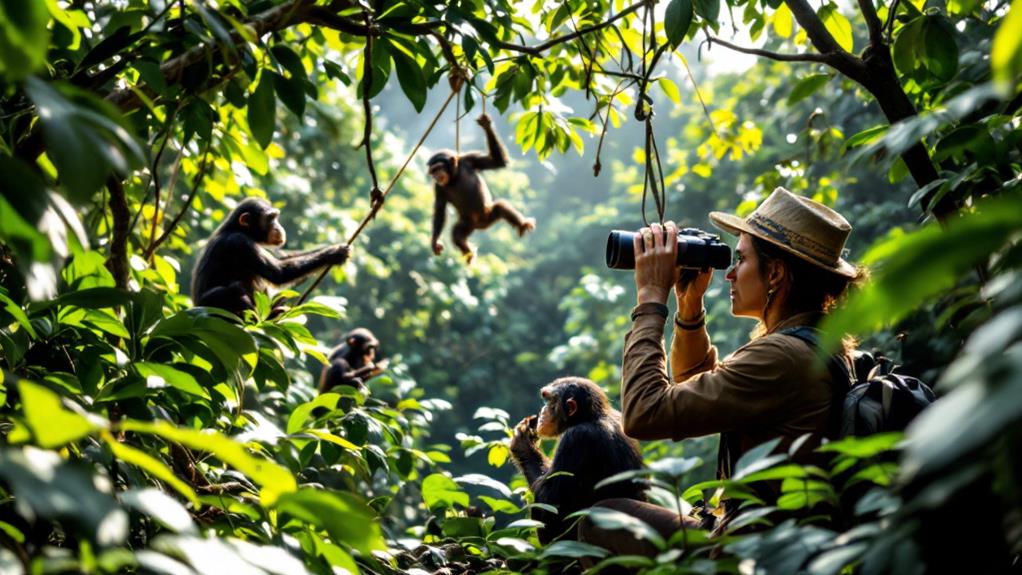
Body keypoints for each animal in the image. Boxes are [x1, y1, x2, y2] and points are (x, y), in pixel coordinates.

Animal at [192, 197, 351, 314]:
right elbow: (279, 272)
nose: (277, 227)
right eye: (270, 219)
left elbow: (282, 259)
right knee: (232, 289)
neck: (240, 230)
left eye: (276, 217)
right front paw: (335, 252)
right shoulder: (239, 243)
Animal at [425, 112, 535, 265]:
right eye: (433, 171)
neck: (454, 176)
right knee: (456, 234)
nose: (435, 176)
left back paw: (522, 225)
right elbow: (440, 210)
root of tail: (482, 226)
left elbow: (497, 162)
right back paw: (469, 254)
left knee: (501, 207)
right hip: (467, 224)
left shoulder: (471, 159)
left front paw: (486, 125)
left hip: (489, 214)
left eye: (438, 168)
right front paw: (435, 242)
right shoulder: (438, 187)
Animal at [510, 377, 645, 543]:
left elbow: (550, 513)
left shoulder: (575, 439)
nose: (542, 411)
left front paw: (523, 441)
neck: (589, 418)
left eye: (550, 400)